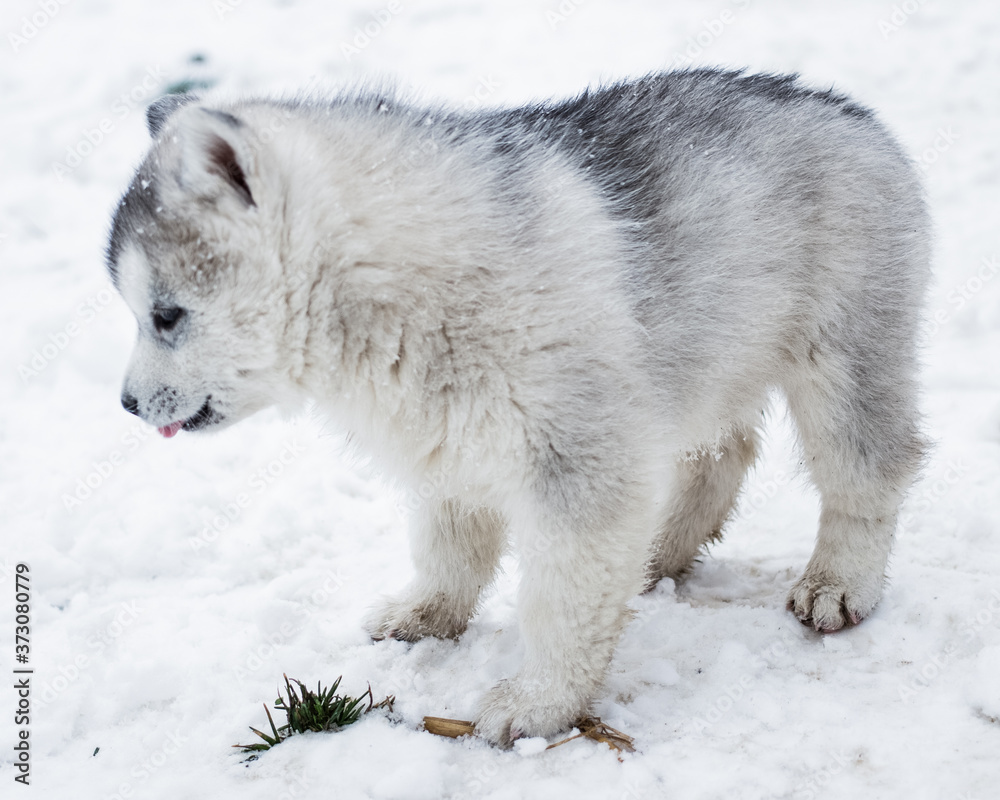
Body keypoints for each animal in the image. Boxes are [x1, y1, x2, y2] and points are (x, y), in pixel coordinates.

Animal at [106, 69, 929, 745]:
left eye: (167, 315)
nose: (127, 404)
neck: (389, 277)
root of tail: (848, 111)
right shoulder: (445, 441)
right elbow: (448, 547)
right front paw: (428, 614)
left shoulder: (576, 458)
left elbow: (560, 600)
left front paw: (539, 703)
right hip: (698, 367)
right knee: (722, 454)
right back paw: (659, 551)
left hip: (841, 362)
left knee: (870, 471)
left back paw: (838, 584)